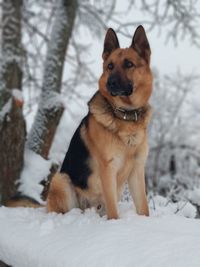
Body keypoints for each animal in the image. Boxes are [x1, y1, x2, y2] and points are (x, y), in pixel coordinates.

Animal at [47, 25, 153, 220]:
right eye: (110, 66)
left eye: (129, 64)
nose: (111, 83)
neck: (125, 116)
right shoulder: (108, 169)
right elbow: (113, 210)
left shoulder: (137, 170)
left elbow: (143, 207)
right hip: (61, 179)